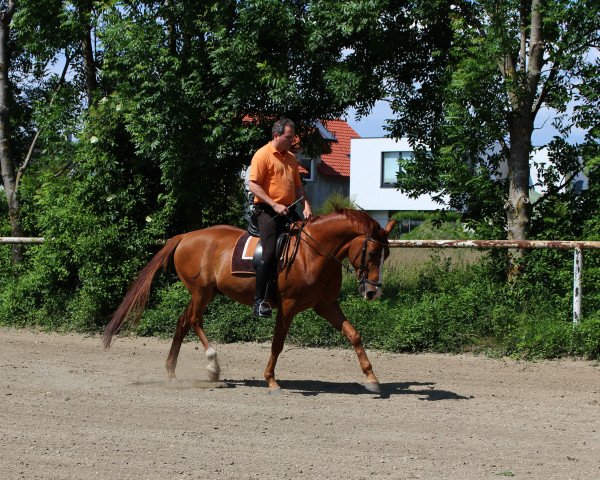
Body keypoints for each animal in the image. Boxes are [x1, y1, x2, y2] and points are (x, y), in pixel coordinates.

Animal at [103, 208, 398, 392]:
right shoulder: (288, 306)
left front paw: (372, 378)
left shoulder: (325, 305)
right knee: (195, 320)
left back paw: (172, 373)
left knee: (183, 322)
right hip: (201, 292)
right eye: (373, 252)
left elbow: (354, 334)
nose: (373, 292)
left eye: (386, 255)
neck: (313, 252)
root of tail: (186, 236)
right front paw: (271, 380)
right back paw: (213, 365)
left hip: (204, 293)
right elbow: (278, 343)